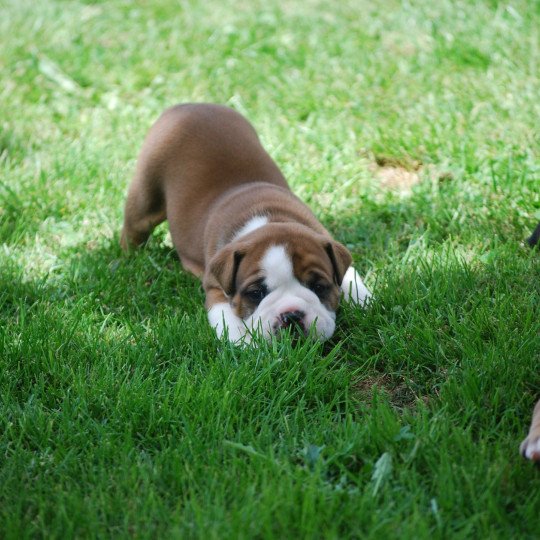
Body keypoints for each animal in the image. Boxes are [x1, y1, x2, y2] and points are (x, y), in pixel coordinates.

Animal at [119, 103, 370, 344]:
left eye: (319, 287)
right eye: (256, 293)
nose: (291, 315)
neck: (270, 219)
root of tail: (186, 106)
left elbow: (351, 279)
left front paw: (365, 303)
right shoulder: (215, 288)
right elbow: (227, 320)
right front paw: (246, 344)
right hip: (145, 198)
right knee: (133, 229)